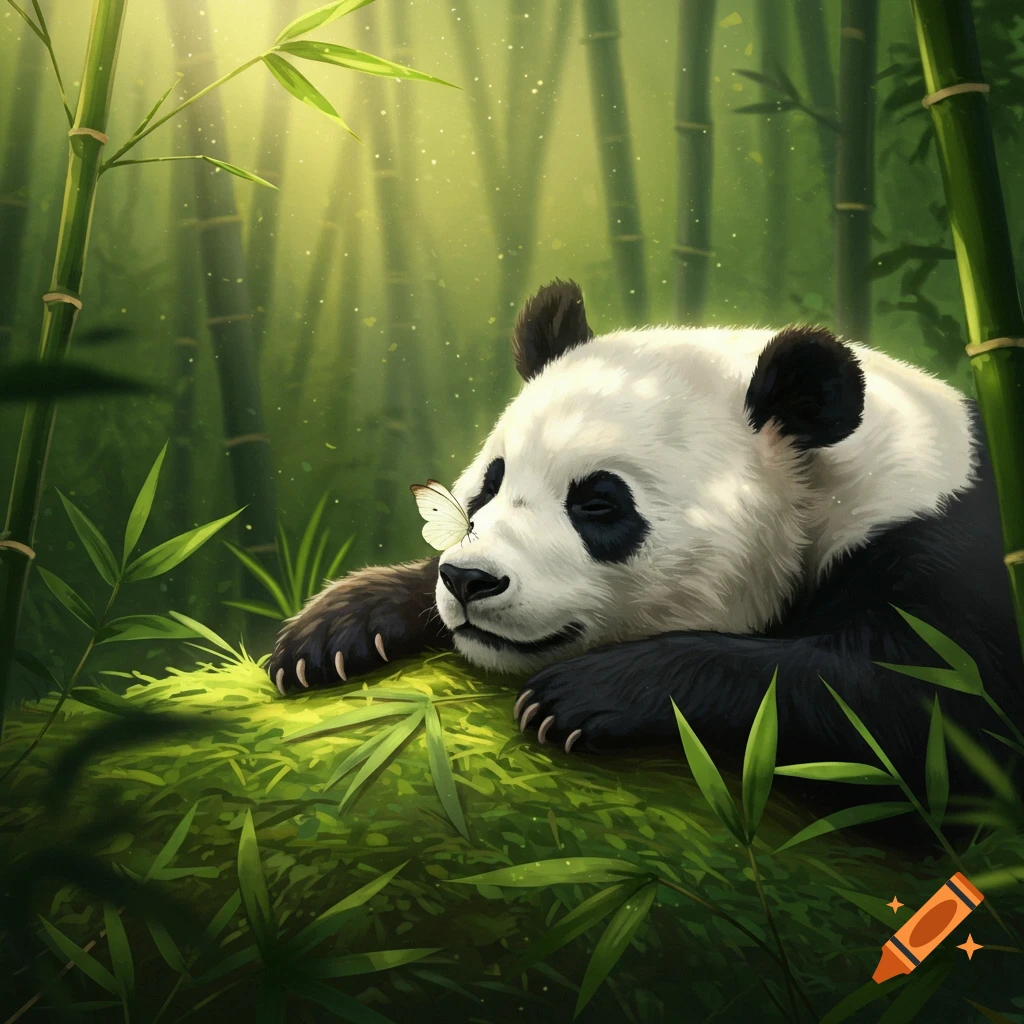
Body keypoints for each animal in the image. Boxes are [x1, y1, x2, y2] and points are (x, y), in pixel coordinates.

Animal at [270, 280, 1024, 791]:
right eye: (490, 483)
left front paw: (579, 696)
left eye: (600, 504)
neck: (837, 490)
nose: (471, 581)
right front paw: (332, 630)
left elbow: (932, 707)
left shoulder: (948, 554)